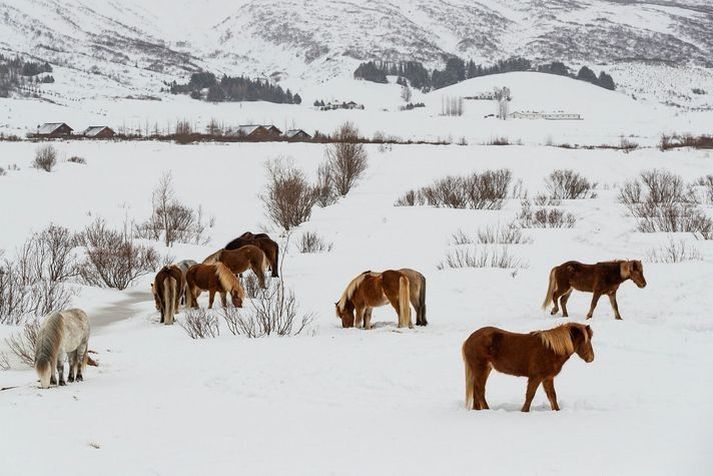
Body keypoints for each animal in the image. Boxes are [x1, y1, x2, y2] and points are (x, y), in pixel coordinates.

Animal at [458, 324, 592, 412]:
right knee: (480, 390)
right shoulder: (536, 377)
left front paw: (557, 411)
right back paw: (487, 410)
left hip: (484, 370)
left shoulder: (547, 378)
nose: (591, 358)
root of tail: (468, 340)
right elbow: (530, 395)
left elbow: (552, 396)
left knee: (476, 390)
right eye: (584, 340)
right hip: (481, 368)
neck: (550, 349)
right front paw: (524, 411)